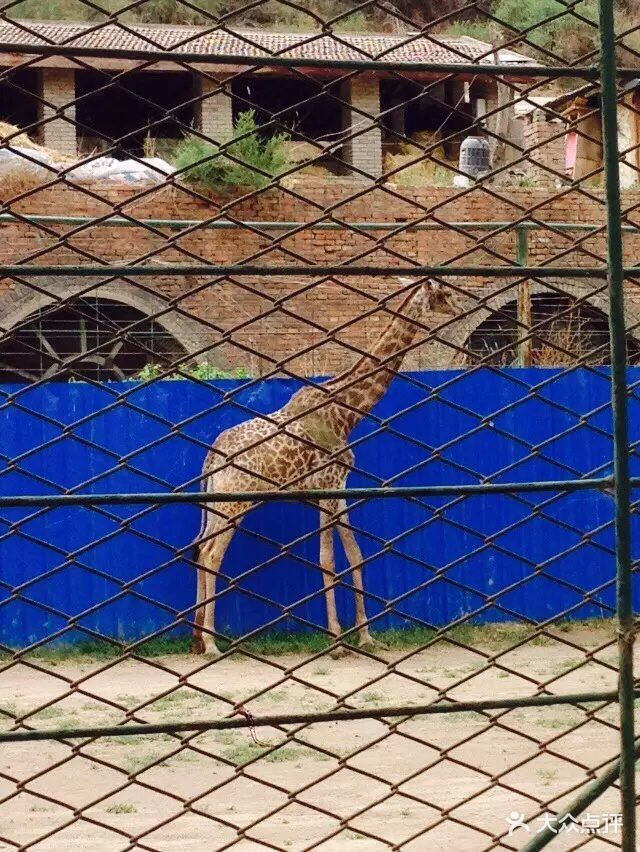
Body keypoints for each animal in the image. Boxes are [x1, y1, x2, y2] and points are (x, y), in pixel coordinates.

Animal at [192, 282, 458, 656]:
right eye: (445, 293)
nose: (459, 309)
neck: (347, 414)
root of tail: (212, 455)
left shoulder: (340, 490)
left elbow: (356, 555)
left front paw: (366, 636)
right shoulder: (326, 489)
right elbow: (327, 559)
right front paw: (336, 639)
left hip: (216, 503)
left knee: (200, 548)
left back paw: (196, 638)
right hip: (235, 503)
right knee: (212, 554)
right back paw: (211, 643)